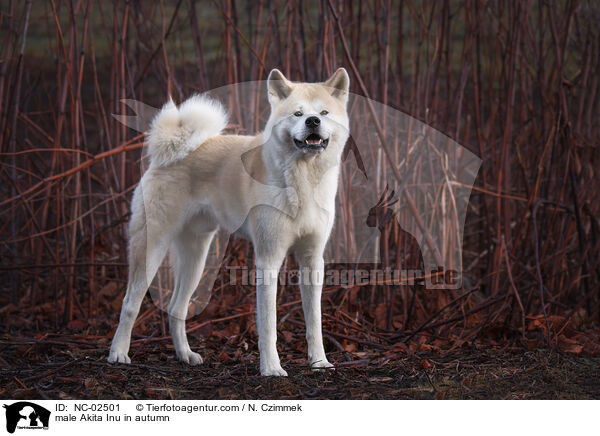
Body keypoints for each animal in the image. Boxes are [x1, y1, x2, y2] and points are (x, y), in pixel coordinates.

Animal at [108, 67, 352, 374]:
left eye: (324, 112)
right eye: (297, 113)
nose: (312, 121)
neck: (303, 178)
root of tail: (169, 152)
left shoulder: (312, 260)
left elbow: (315, 322)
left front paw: (319, 361)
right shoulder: (268, 259)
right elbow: (269, 325)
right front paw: (271, 368)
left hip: (197, 258)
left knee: (177, 308)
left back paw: (185, 355)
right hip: (151, 250)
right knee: (130, 303)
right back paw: (118, 353)